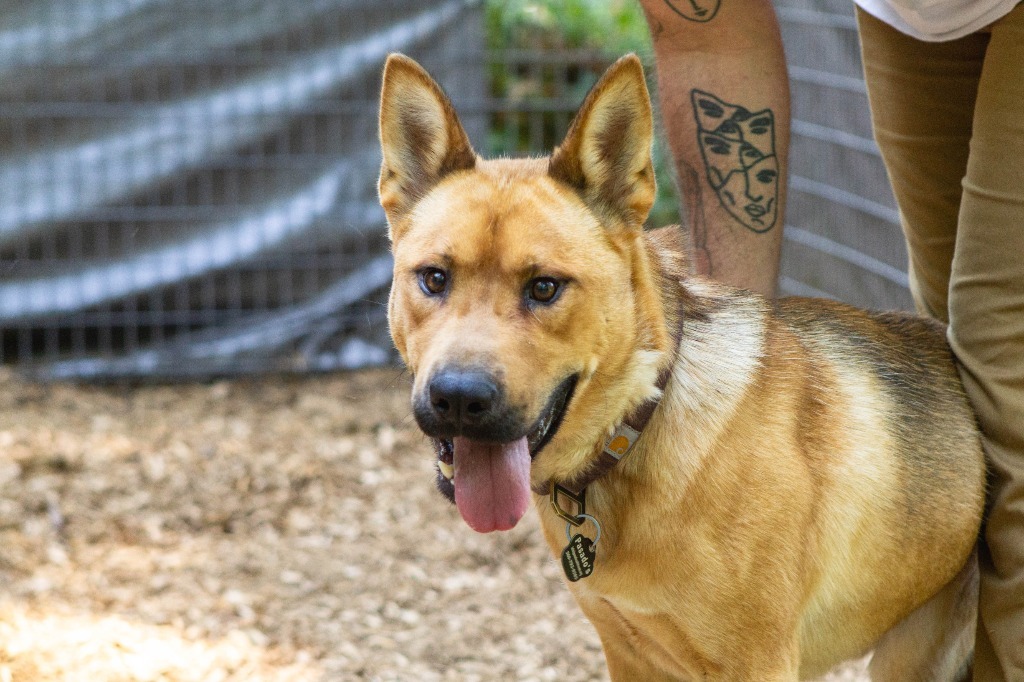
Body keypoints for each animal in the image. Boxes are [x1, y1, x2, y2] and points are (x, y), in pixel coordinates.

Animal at [380, 53, 987, 679]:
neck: (643, 419)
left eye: (544, 287)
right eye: (434, 278)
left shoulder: (758, 663)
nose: (458, 398)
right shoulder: (629, 653)